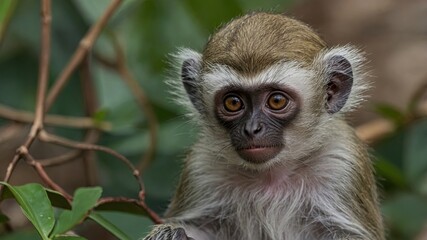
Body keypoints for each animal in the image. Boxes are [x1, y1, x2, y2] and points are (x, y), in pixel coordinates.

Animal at [144, 11, 384, 240]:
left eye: (276, 101)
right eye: (233, 102)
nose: (252, 129)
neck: (271, 176)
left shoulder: (343, 162)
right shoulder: (200, 166)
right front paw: (169, 233)